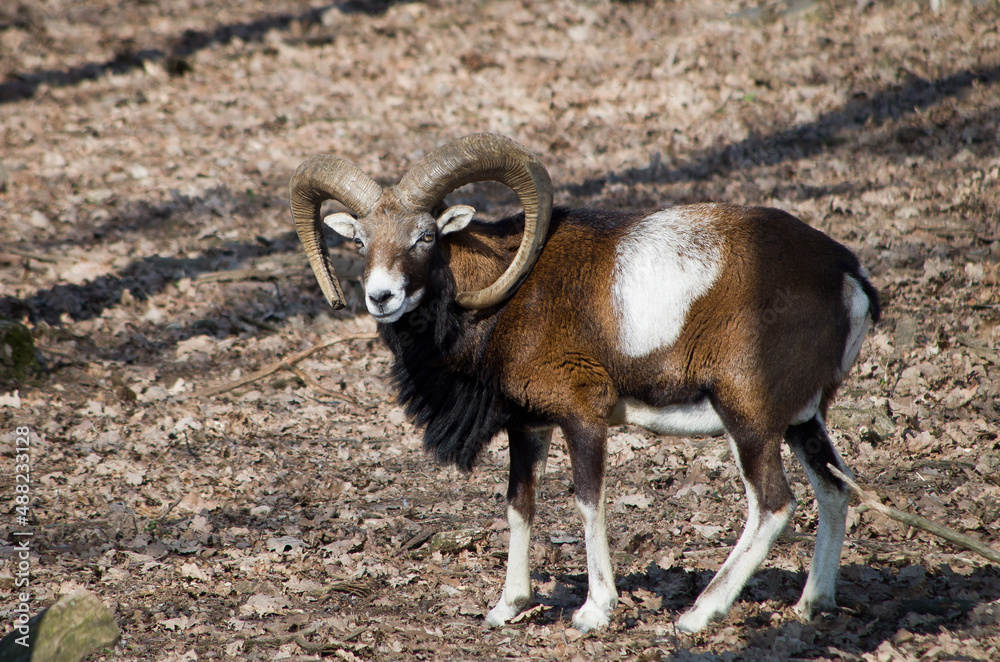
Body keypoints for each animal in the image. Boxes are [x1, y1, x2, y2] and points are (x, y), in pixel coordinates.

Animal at [289, 133, 880, 633]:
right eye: (360, 241)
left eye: (425, 235)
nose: (380, 296)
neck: (505, 300)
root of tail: (846, 275)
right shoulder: (529, 427)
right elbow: (519, 504)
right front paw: (508, 607)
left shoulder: (583, 419)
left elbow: (588, 502)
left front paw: (595, 611)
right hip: (803, 420)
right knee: (834, 488)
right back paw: (812, 604)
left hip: (749, 420)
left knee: (773, 505)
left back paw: (697, 615)